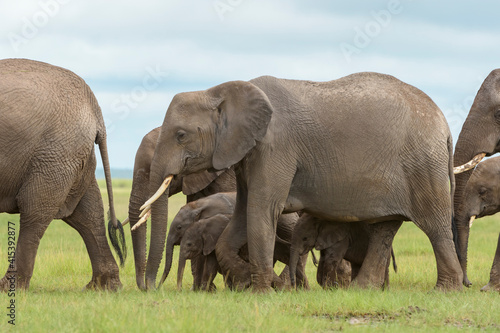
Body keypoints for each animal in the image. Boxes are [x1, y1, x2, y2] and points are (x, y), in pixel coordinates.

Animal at [0, 58, 125, 290]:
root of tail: (94, 108)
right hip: (72, 154)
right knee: (87, 213)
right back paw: (103, 287)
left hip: (55, 154)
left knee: (34, 211)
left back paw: (9, 288)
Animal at [139, 72, 462, 290]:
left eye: (181, 135)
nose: (150, 288)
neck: (221, 91)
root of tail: (445, 126)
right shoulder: (246, 155)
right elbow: (242, 215)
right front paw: (251, 282)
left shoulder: (275, 149)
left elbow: (261, 210)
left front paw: (262, 291)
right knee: (386, 228)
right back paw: (363, 289)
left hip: (423, 165)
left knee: (434, 225)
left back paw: (445, 289)